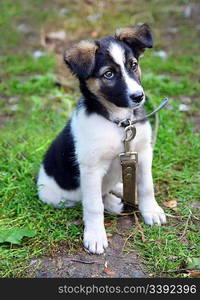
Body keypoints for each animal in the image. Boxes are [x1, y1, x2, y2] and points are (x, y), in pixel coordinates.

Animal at [37, 24, 166, 253]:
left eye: (133, 65)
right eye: (108, 74)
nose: (139, 96)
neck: (118, 123)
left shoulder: (143, 152)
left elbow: (146, 186)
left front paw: (151, 210)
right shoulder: (91, 168)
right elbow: (93, 205)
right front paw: (95, 235)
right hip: (52, 196)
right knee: (91, 197)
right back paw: (112, 202)